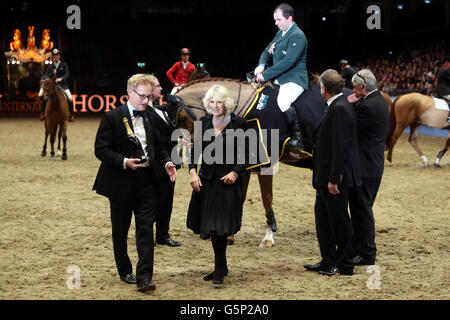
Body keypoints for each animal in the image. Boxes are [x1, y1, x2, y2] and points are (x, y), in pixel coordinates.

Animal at [174, 78, 326, 248]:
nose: (192, 145)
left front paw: (268, 237)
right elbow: (240, 195)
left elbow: (267, 197)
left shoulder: (265, 163)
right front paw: (230, 234)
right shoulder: (244, 164)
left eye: (182, 117)